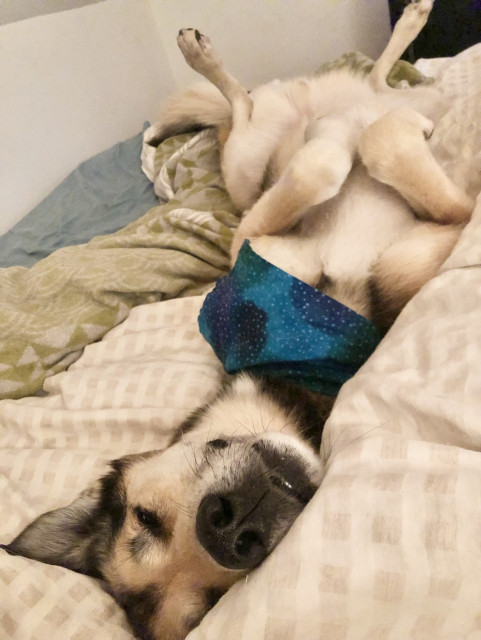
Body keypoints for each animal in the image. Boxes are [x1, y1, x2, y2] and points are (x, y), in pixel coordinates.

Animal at [1, 1, 474, 640]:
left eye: (144, 518)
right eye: (211, 604)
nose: (225, 528)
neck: (299, 368)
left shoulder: (252, 238)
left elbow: (332, 160)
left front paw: (344, 134)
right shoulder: (442, 235)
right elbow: (355, 156)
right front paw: (356, 138)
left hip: (247, 164)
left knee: (285, 100)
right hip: (249, 165)